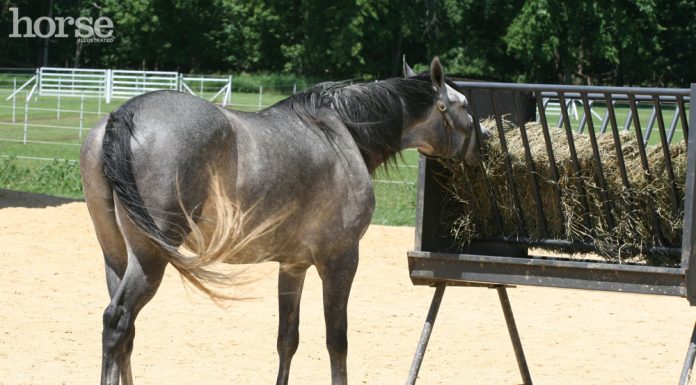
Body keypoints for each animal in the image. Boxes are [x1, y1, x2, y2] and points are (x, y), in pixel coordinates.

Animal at [81, 57, 482, 384]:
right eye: (463, 105)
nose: (483, 145)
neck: (344, 134)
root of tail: (125, 114)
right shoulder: (340, 261)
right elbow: (337, 341)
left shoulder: (293, 266)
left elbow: (287, 339)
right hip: (150, 259)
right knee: (118, 322)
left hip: (116, 257)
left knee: (124, 332)